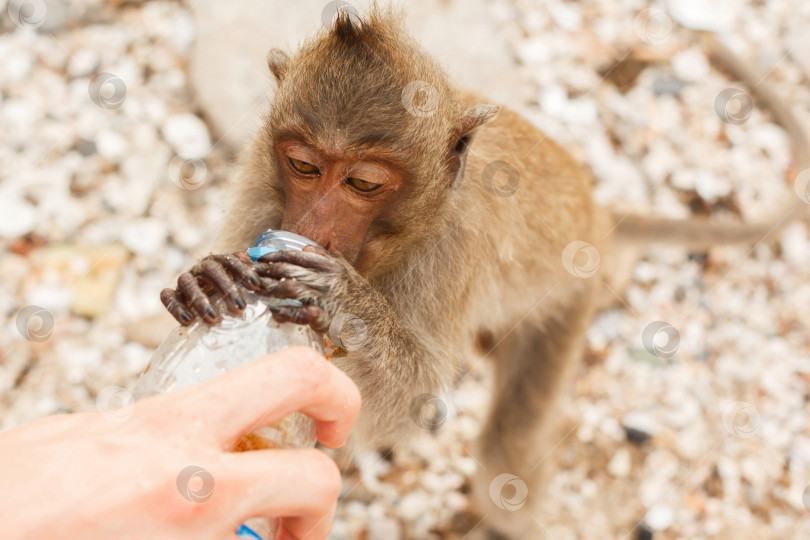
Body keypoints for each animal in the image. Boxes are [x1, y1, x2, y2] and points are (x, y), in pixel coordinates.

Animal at [159, 7, 808, 536]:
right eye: (303, 165)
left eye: (362, 183)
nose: (313, 225)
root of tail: (599, 221)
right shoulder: (259, 181)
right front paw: (209, 279)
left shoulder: (457, 244)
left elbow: (413, 401)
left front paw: (337, 297)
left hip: (567, 302)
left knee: (508, 446)